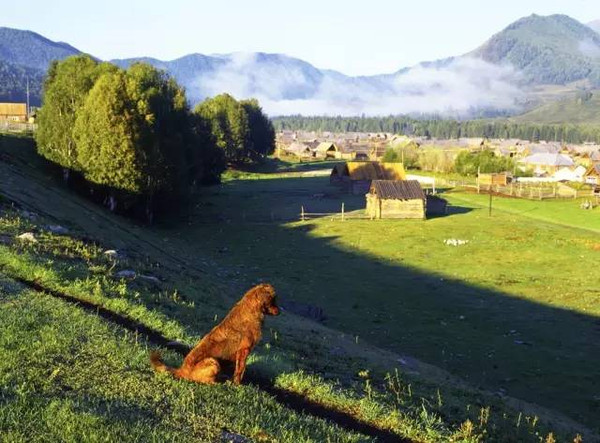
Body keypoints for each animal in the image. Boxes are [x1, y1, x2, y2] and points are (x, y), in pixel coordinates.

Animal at [151, 284, 280, 386]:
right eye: (273, 301)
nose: (279, 311)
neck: (253, 309)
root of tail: (181, 370)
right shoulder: (244, 350)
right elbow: (240, 370)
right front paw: (237, 384)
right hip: (213, 362)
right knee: (201, 380)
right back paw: (217, 382)